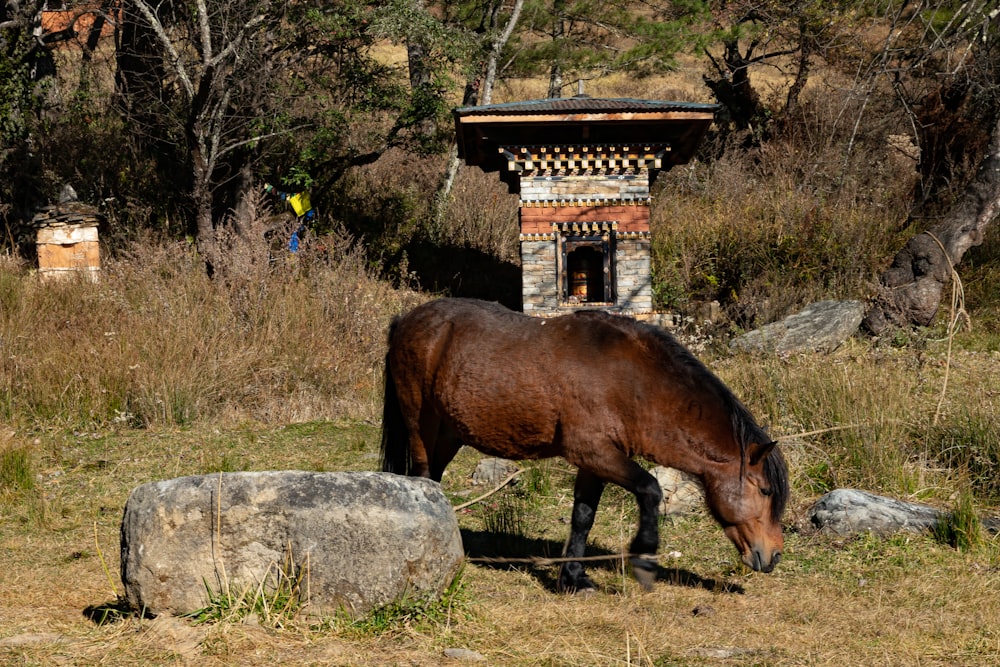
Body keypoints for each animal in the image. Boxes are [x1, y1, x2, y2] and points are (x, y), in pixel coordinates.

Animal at [382, 300, 788, 592]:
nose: (773, 555)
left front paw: (573, 578)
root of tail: (406, 320)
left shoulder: (595, 462)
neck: (632, 381)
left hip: (449, 434)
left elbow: (583, 517)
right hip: (420, 423)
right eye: (765, 491)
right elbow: (650, 489)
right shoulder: (596, 453)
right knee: (422, 478)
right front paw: (644, 560)